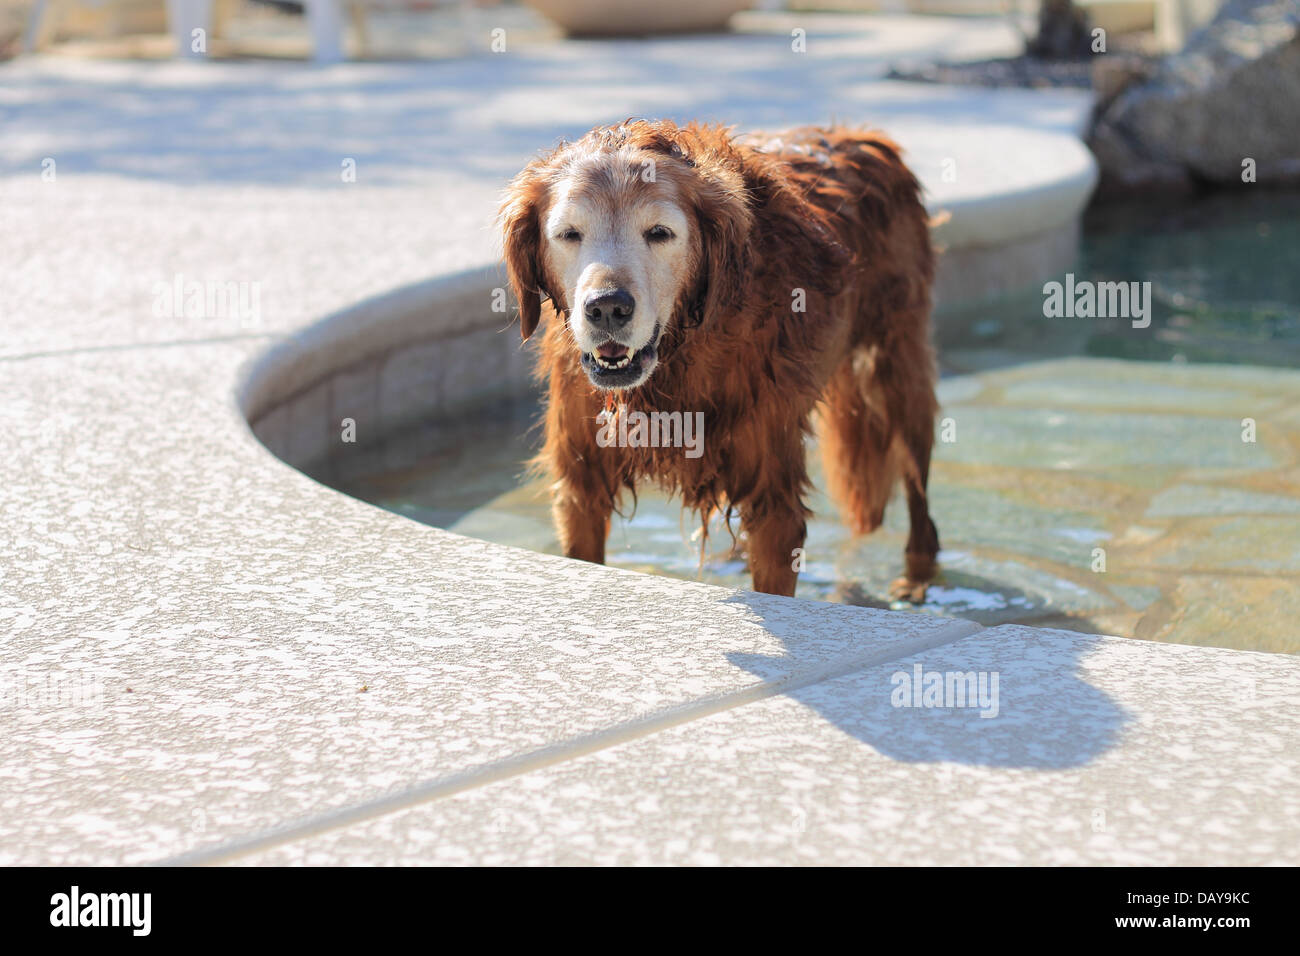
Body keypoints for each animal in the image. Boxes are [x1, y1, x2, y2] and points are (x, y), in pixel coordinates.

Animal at [501, 117, 941, 598]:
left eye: (659, 233)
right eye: (569, 234)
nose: (607, 308)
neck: (677, 360)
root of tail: (865, 136)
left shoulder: (774, 501)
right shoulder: (581, 485)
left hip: (897, 371)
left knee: (920, 493)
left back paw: (917, 578)